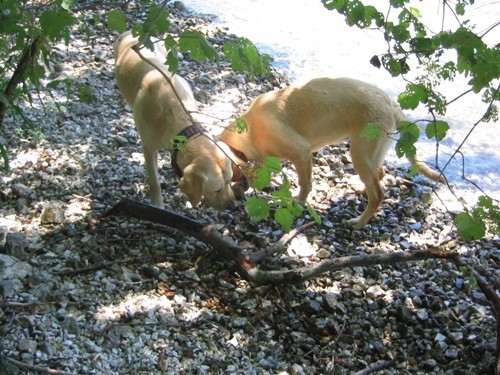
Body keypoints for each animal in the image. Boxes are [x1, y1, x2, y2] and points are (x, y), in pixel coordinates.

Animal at [115, 30, 236, 210]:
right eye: (217, 189)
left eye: (230, 181)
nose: (232, 205)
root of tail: (131, 32)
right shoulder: (148, 148)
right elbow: (154, 182)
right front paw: (157, 204)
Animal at [221, 78, 444, 228]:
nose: (236, 197)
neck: (252, 130)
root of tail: (392, 104)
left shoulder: (302, 153)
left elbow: (304, 185)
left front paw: (298, 205)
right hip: (367, 155)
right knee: (379, 175)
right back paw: (362, 191)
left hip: (360, 153)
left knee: (378, 194)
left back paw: (359, 222)